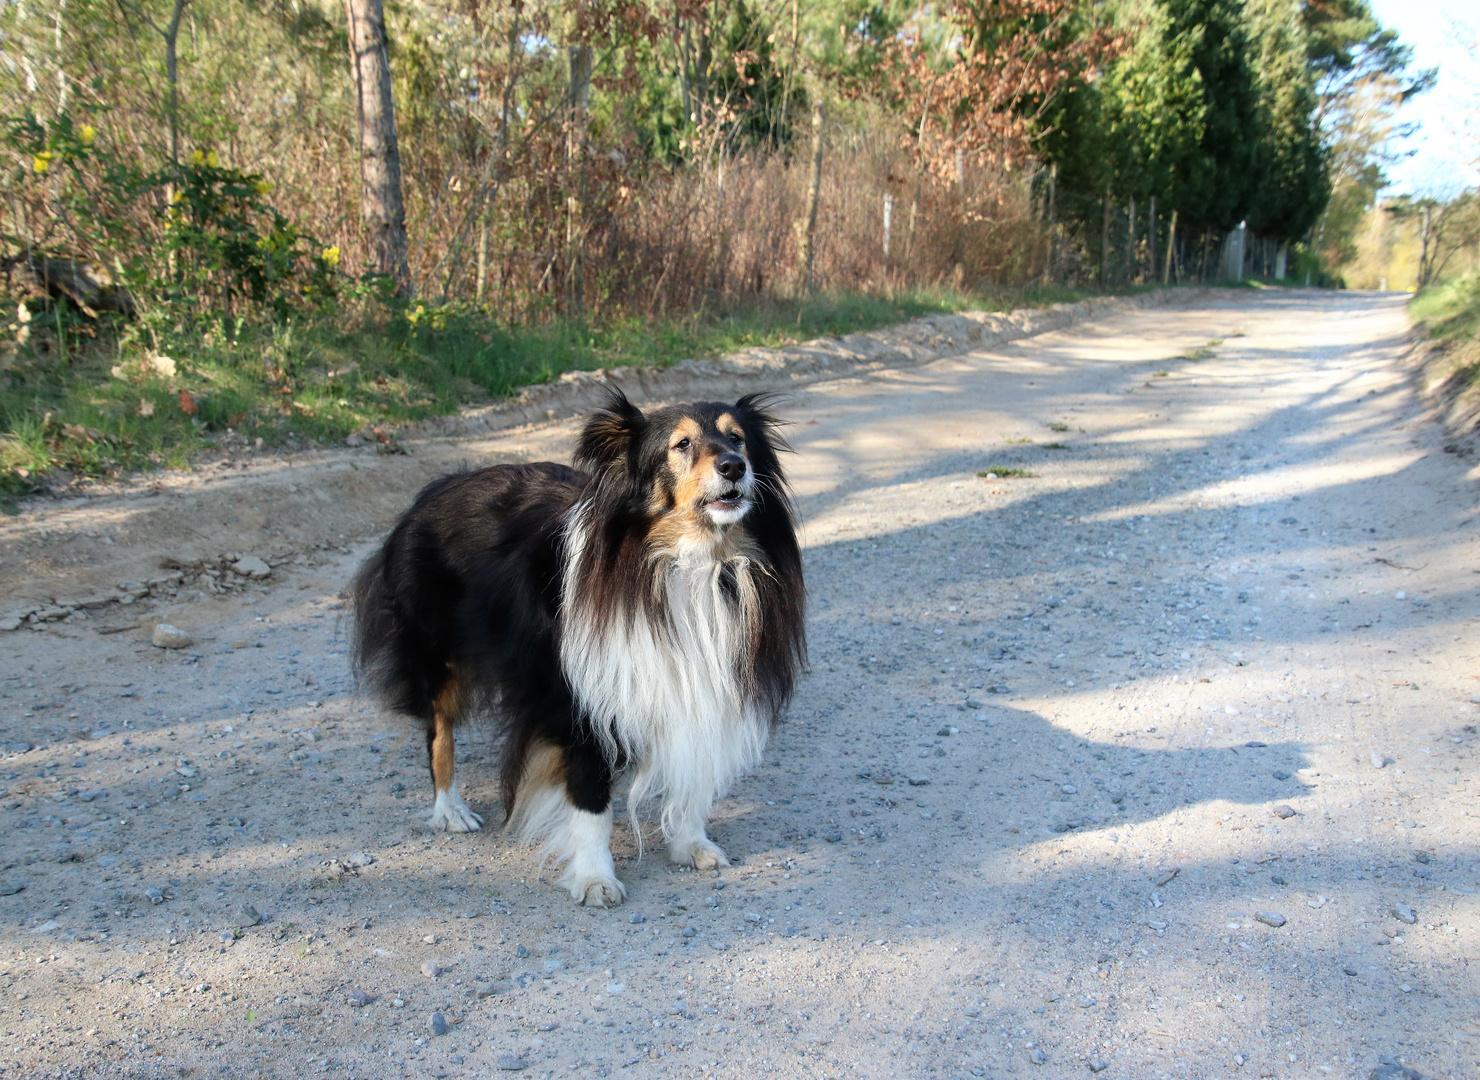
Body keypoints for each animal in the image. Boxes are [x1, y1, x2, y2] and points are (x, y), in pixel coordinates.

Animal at [347, 387, 805, 899]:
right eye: (681, 444)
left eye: (737, 438)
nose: (733, 467)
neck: (684, 561)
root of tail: (438, 487)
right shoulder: (579, 697)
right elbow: (590, 799)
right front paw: (594, 877)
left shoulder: (702, 679)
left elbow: (693, 771)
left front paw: (691, 844)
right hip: (438, 649)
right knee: (438, 728)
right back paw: (450, 809)